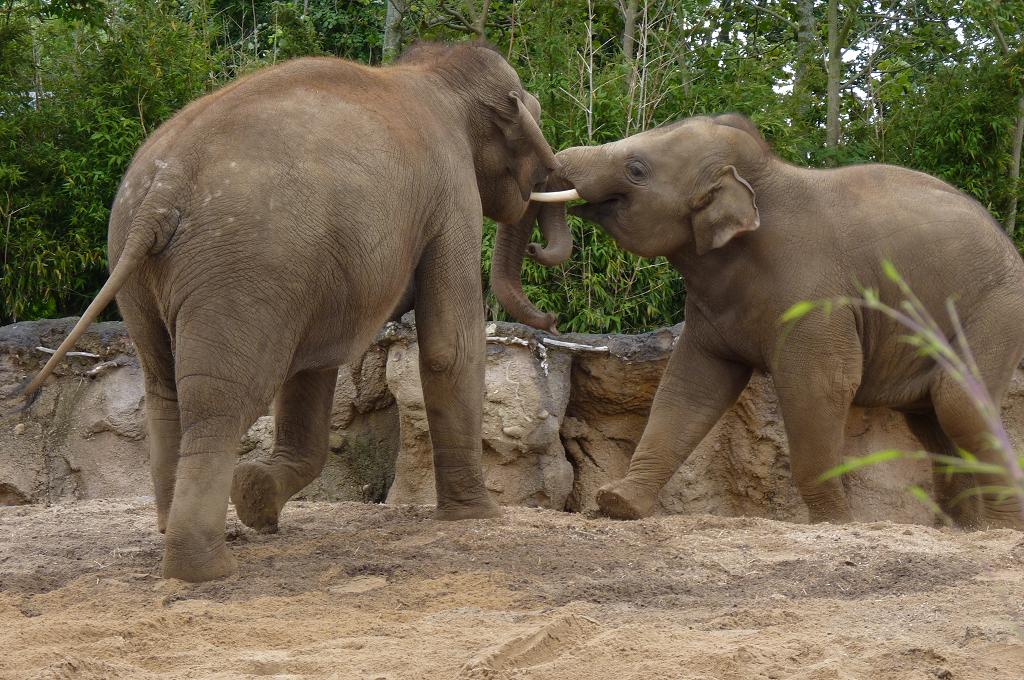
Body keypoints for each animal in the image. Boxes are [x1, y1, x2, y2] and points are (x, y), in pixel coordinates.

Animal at [19, 43, 571, 582]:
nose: (552, 321)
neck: (435, 70)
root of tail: (162, 190)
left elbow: (316, 363)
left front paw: (257, 500)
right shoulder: (452, 196)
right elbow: (448, 348)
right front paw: (478, 516)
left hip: (143, 269)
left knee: (163, 388)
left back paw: (174, 529)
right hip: (242, 268)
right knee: (223, 402)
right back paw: (204, 570)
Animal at [503, 113, 1024, 528]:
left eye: (635, 169)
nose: (551, 318)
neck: (762, 179)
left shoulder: (817, 299)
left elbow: (822, 384)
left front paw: (836, 524)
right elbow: (689, 387)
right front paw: (617, 504)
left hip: (997, 308)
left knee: (958, 402)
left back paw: (1000, 530)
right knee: (934, 420)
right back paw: (962, 531)